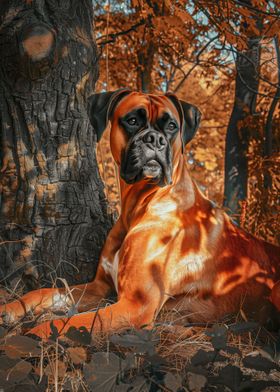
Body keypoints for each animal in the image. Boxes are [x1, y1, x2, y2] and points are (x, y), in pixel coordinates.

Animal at [0, 90, 280, 338]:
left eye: (171, 126)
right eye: (132, 120)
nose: (154, 139)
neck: (139, 205)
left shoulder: (135, 304)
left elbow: (66, 323)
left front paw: (29, 338)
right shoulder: (99, 288)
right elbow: (44, 292)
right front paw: (9, 310)